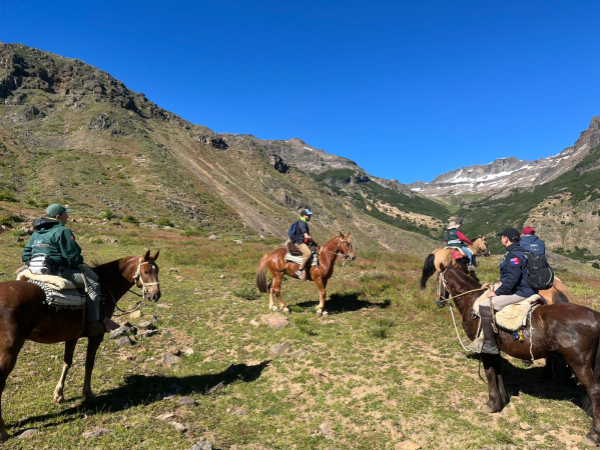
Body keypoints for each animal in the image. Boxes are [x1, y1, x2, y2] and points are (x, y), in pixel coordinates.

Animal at [0, 250, 160, 441]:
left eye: (157, 271)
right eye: (146, 271)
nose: (156, 295)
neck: (105, 286)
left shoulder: (72, 336)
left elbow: (67, 363)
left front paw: (59, 395)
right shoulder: (96, 335)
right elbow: (89, 364)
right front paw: (88, 394)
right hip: (9, 350)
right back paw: (3, 431)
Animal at [436, 266, 600, 446]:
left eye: (437, 280)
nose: (438, 302)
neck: (472, 302)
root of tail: (596, 317)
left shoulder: (486, 349)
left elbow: (490, 373)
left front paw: (491, 404)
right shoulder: (495, 349)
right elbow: (497, 372)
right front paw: (501, 401)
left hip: (580, 364)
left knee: (594, 392)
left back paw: (593, 435)